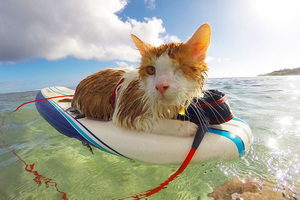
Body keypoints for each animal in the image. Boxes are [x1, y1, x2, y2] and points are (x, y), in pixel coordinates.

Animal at [71, 23, 211, 136]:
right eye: (151, 70)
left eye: (180, 68)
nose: (160, 86)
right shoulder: (126, 113)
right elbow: (156, 123)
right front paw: (186, 127)